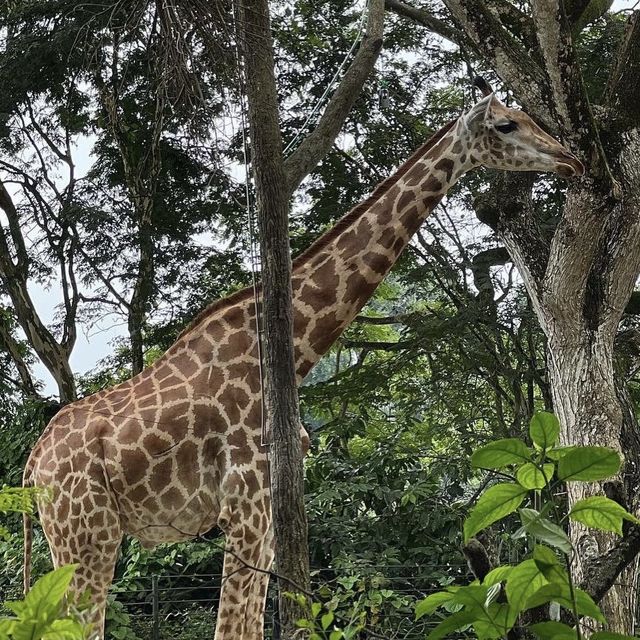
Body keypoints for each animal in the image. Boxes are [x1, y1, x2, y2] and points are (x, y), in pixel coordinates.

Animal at [22, 86, 584, 640]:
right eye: (507, 125)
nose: (570, 159)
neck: (292, 356)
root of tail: (32, 467)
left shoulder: (268, 510)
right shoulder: (246, 505)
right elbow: (234, 627)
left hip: (76, 540)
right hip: (88, 535)